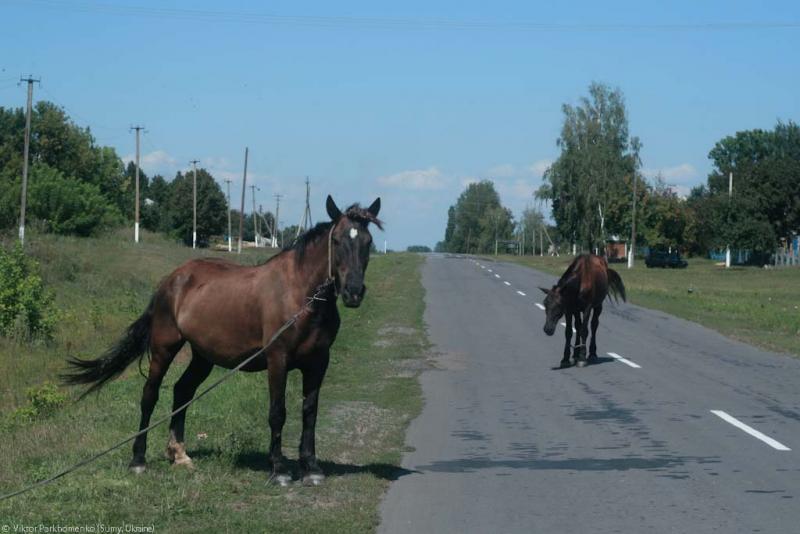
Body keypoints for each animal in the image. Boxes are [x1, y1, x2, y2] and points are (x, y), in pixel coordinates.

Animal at [64, 196, 382, 486]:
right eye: (337, 240)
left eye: (368, 242)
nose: (353, 292)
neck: (301, 297)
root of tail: (171, 280)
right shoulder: (277, 360)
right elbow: (278, 412)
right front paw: (279, 469)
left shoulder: (318, 362)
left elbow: (310, 412)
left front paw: (311, 468)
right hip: (165, 347)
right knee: (150, 395)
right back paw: (138, 460)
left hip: (202, 356)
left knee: (182, 391)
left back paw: (179, 454)